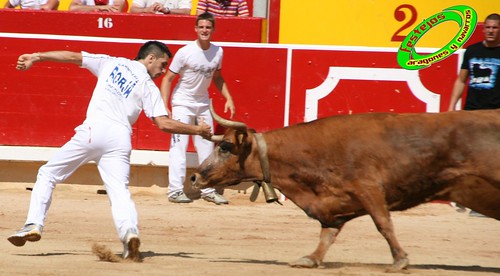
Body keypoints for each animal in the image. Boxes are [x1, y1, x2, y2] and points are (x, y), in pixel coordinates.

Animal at [190, 102, 500, 270]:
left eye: (226, 147)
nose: (194, 178)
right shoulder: (334, 204)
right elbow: (327, 234)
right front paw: (310, 259)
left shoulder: (369, 188)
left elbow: (383, 224)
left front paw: (400, 260)